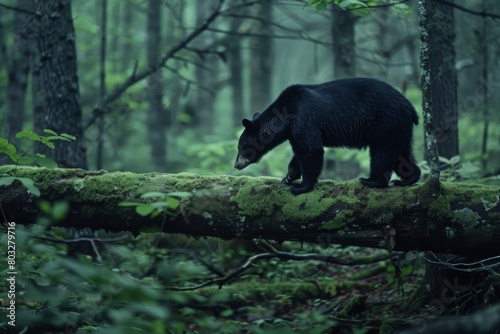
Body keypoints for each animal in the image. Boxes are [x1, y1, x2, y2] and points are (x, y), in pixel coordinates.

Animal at [232, 77, 420, 194]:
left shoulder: (304, 117)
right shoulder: (294, 129)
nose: (236, 164)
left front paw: (301, 186)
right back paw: (408, 178)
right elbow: (300, 150)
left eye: (242, 147)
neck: (286, 115)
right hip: (398, 128)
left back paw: (371, 180)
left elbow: (311, 150)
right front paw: (289, 176)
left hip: (384, 122)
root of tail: (409, 107)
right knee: (401, 154)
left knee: (382, 153)